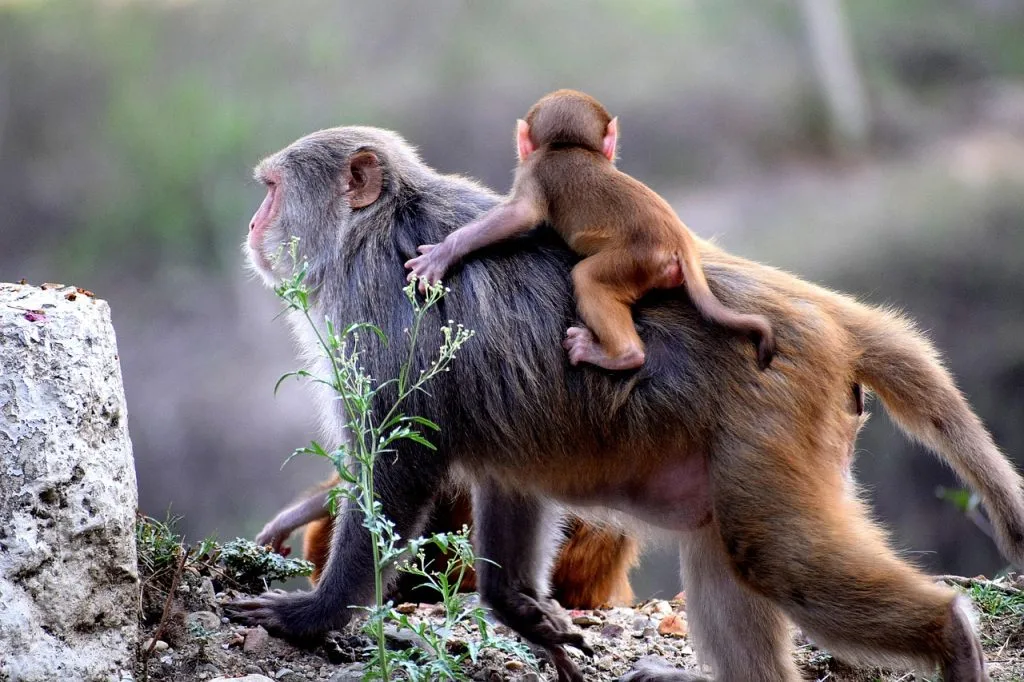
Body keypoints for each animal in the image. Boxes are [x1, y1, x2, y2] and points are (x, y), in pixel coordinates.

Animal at [405, 89, 775, 372]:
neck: (567, 147)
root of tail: (678, 242)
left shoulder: (535, 169)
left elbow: (521, 214)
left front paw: (443, 253)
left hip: (636, 261)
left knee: (588, 278)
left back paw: (621, 356)